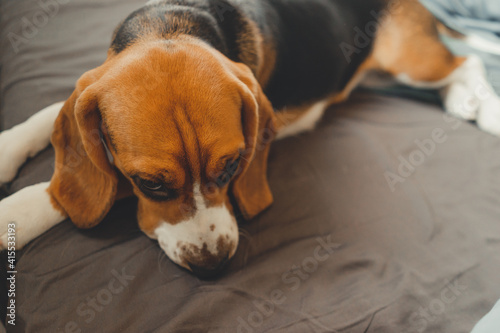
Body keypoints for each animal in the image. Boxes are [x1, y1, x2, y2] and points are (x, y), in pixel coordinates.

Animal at [0, 0, 500, 274]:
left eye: (232, 167)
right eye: (151, 184)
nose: (213, 264)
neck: (172, 23)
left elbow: (66, 189)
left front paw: (16, 212)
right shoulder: (92, 87)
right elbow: (48, 116)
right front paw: (8, 148)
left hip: (407, 58)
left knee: (466, 62)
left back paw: (484, 109)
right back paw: (462, 102)